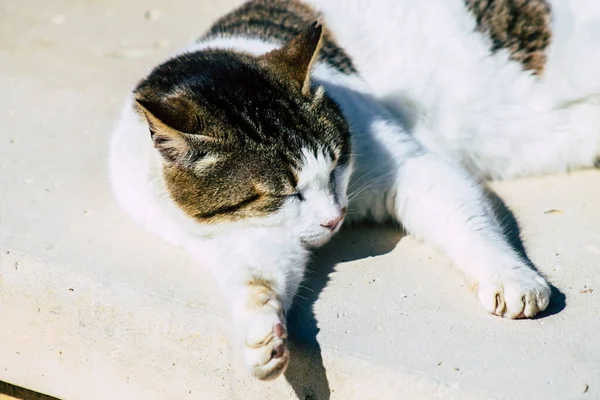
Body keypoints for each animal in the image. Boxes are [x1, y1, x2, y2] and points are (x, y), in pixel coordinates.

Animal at [109, 0, 600, 382]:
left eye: (336, 164)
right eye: (283, 195)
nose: (335, 219)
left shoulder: (412, 167)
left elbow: (466, 220)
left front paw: (510, 277)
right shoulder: (246, 237)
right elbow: (257, 278)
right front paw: (261, 337)